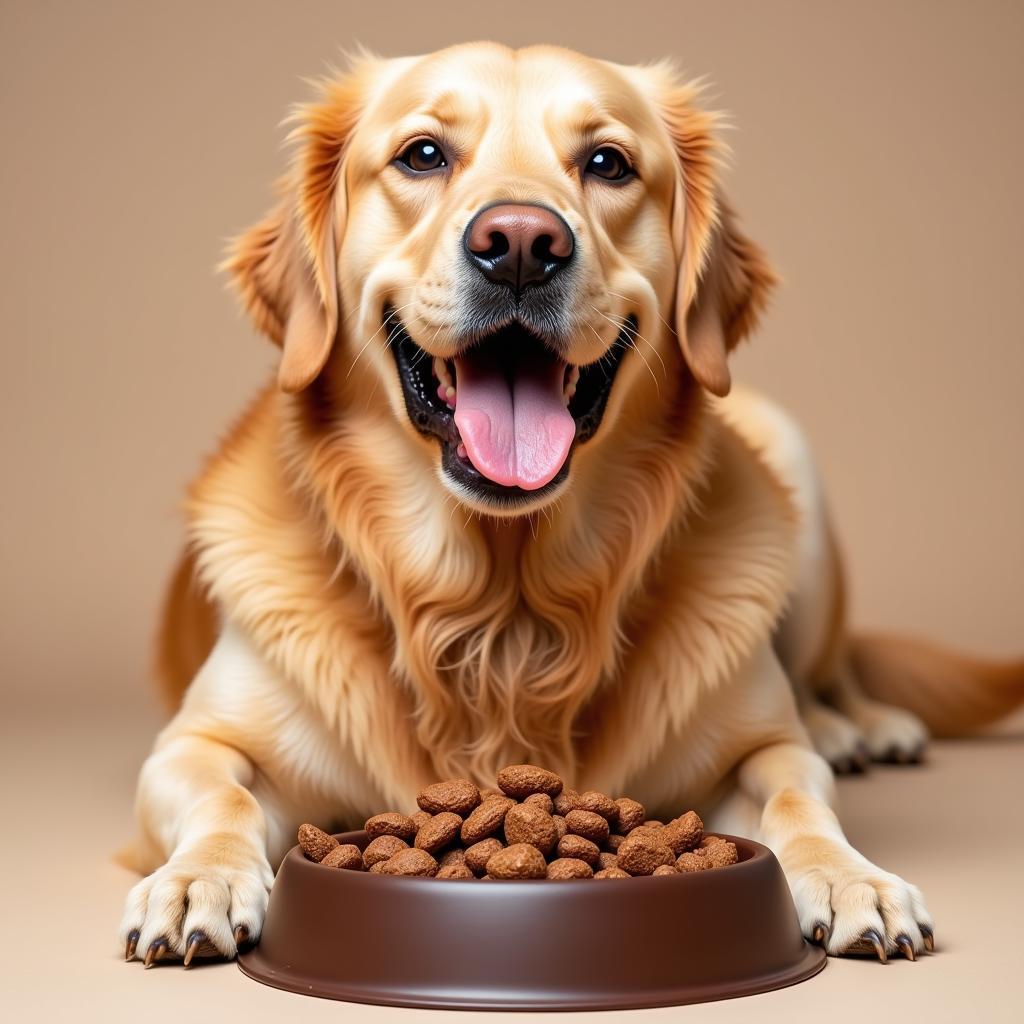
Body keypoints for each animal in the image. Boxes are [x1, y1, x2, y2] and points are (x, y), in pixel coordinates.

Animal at [121, 41, 1024, 966]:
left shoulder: (761, 749)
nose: (521, 244)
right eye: (422, 154)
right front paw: (200, 879)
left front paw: (851, 878)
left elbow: (796, 796)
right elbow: (220, 797)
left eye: (608, 163)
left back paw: (860, 726)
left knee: (832, 673)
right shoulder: (196, 745)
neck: (505, 614)